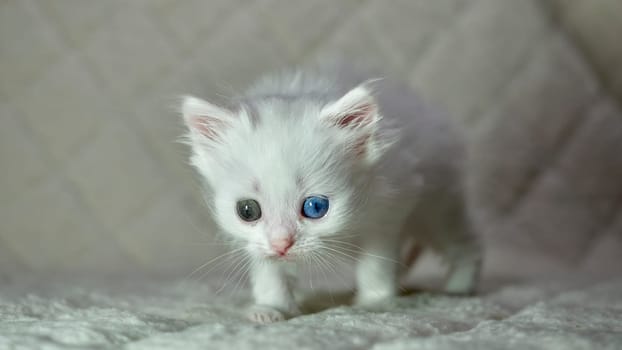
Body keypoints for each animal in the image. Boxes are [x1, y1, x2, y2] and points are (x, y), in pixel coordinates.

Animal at [179, 65, 482, 322]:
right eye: (247, 211)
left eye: (315, 207)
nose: (282, 244)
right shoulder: (255, 242)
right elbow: (268, 270)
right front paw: (271, 308)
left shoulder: (387, 208)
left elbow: (376, 263)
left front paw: (374, 302)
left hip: (436, 205)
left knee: (464, 242)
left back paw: (460, 287)